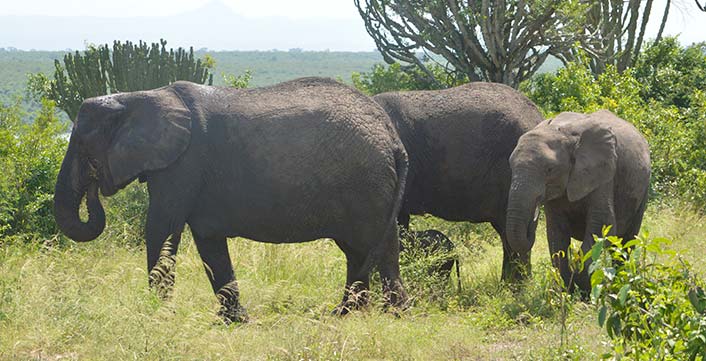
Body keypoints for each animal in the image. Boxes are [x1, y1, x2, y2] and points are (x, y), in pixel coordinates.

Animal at [53, 77, 408, 322]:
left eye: (83, 145)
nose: (93, 186)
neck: (141, 96)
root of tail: (392, 138)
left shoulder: (182, 164)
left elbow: (162, 229)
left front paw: (158, 315)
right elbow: (209, 244)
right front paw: (234, 322)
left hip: (367, 184)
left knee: (378, 248)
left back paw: (391, 315)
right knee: (361, 250)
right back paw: (348, 313)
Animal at [506, 110, 648, 292]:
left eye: (550, 169)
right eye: (510, 165)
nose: (534, 217)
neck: (563, 133)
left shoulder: (603, 172)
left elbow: (601, 225)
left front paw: (583, 284)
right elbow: (556, 232)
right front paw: (569, 287)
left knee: (626, 242)